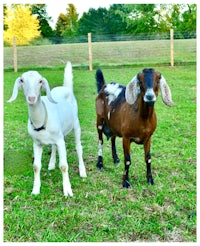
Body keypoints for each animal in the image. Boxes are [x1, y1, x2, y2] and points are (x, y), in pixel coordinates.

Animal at [7, 61, 86, 196]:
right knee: (54, 146)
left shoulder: (60, 140)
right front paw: (35, 190)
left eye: (40, 81)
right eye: (22, 80)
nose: (31, 98)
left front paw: (67, 190)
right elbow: (36, 166)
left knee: (78, 147)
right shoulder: (37, 142)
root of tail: (66, 88)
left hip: (76, 124)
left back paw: (82, 172)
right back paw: (51, 164)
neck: (42, 119)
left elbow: (64, 166)